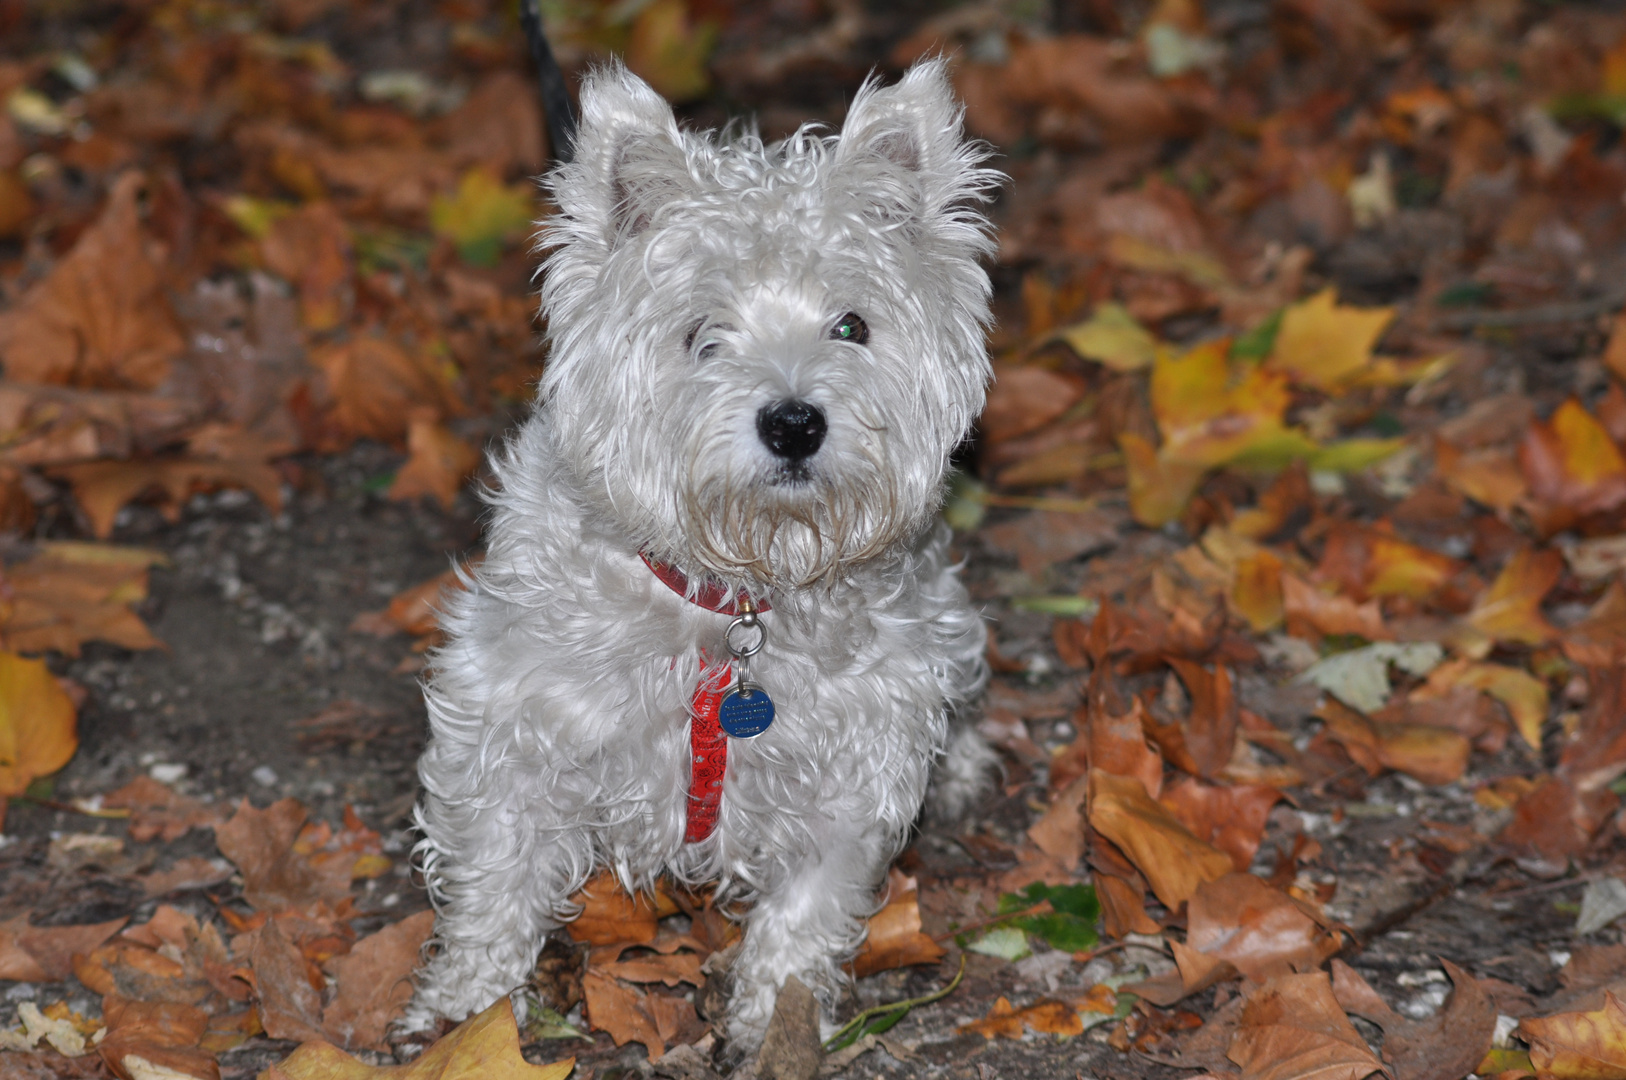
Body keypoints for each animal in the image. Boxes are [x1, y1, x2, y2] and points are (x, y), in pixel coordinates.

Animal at [403, 58, 1001, 1053]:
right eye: (702, 333)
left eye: (851, 326)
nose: (794, 422)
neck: (736, 599)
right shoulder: (515, 731)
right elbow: (498, 877)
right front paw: (467, 1010)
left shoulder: (850, 776)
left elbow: (805, 911)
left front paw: (776, 1024)